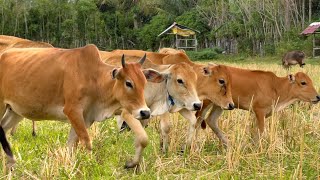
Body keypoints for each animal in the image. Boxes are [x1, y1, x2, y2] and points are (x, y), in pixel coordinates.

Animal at [0, 44, 165, 169]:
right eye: (128, 83)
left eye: (144, 82)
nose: (145, 112)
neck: (94, 78)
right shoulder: (72, 111)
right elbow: (86, 142)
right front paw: (90, 165)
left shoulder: (85, 117)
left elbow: (71, 145)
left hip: (15, 111)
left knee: (3, 128)